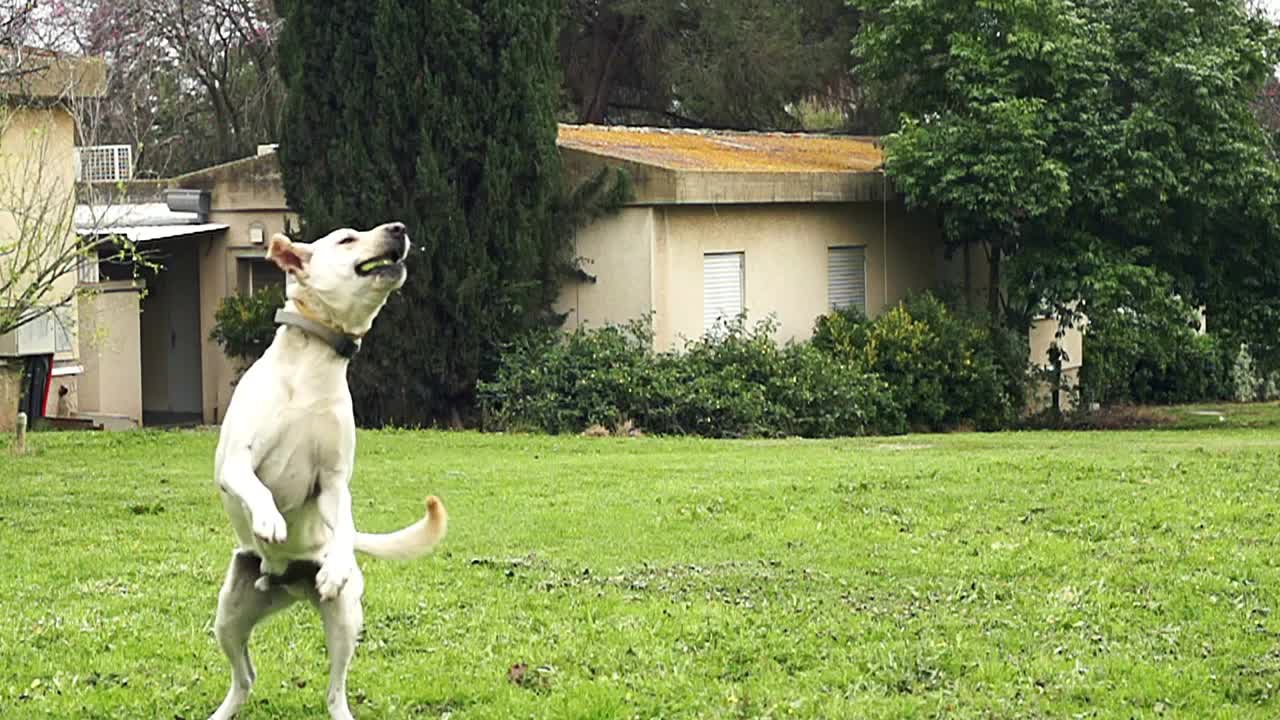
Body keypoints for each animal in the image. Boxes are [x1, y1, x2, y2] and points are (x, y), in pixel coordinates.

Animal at [208, 222, 445, 717]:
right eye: (347, 239)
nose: (399, 228)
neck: (312, 365)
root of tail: (287, 585)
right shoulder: (236, 463)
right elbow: (257, 488)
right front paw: (269, 520)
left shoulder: (335, 483)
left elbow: (343, 518)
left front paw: (335, 564)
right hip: (230, 616)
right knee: (244, 677)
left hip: (344, 618)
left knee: (333, 689)